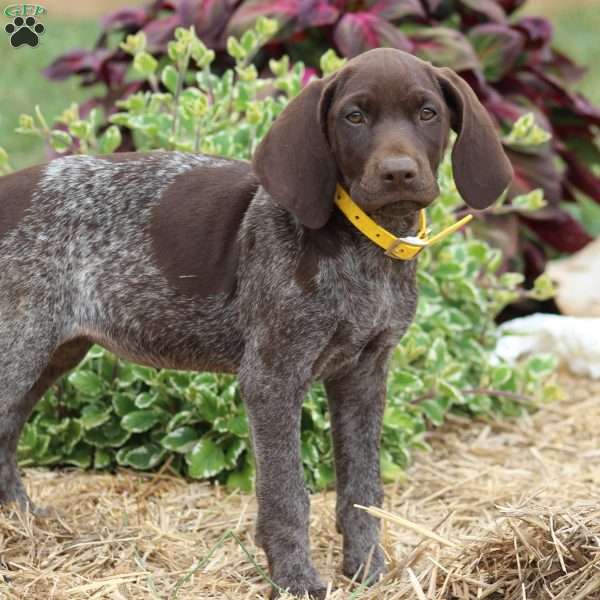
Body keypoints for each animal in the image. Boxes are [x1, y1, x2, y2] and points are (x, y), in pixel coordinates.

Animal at [2, 49, 512, 596]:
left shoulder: (364, 375)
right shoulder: (273, 377)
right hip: (21, 347)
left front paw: (368, 569)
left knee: (5, 435)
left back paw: (22, 521)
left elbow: (362, 488)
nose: (398, 173)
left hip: (50, 353)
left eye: (427, 113)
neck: (363, 244)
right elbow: (286, 493)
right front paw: (295, 578)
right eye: (354, 117)